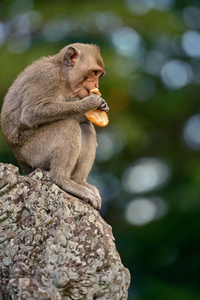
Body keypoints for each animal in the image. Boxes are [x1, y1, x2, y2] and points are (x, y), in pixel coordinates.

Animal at [0, 43, 109, 210]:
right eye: (94, 73)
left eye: (99, 75)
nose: (96, 85)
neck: (62, 75)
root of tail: (22, 162)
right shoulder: (46, 77)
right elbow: (32, 112)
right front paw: (90, 102)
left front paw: (101, 106)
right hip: (34, 151)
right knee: (68, 124)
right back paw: (62, 179)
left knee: (86, 127)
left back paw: (78, 181)